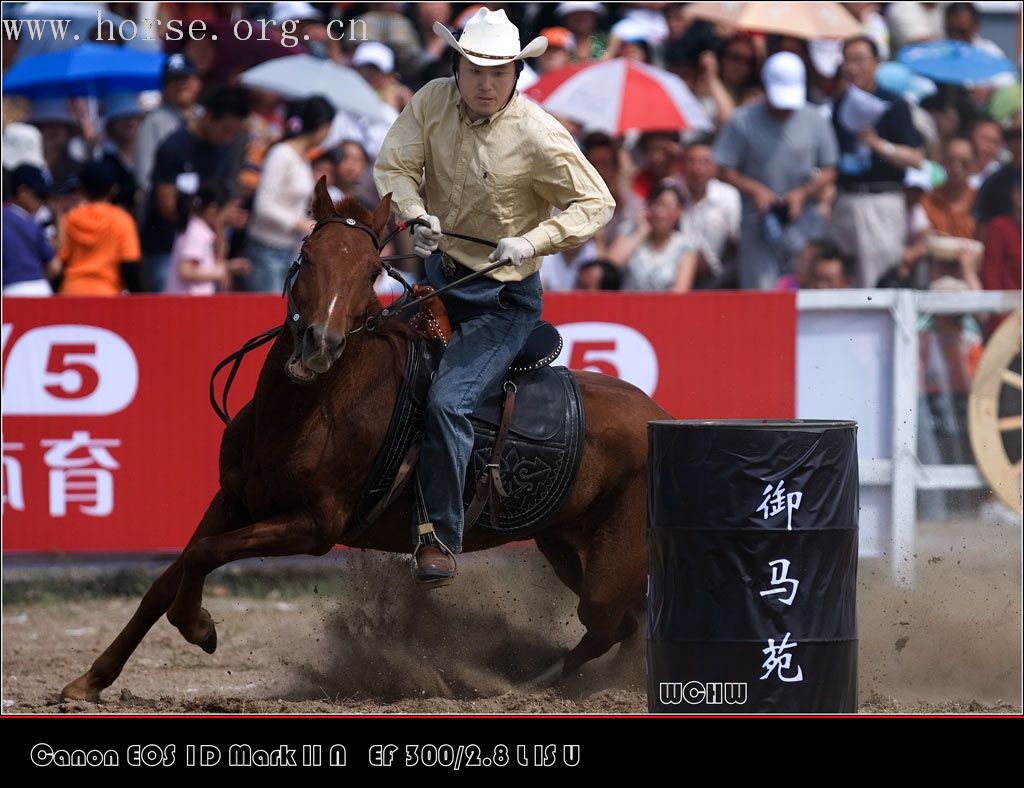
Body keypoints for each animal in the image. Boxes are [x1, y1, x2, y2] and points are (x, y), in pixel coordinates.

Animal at [64, 180, 671, 699]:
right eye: (307, 256)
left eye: (371, 270)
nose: (320, 344)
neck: (308, 410)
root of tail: (660, 415)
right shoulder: (233, 498)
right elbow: (171, 574)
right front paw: (90, 681)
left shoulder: (315, 526)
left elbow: (205, 555)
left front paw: (198, 626)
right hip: (567, 547)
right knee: (625, 623)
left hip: (610, 568)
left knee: (609, 624)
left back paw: (530, 682)